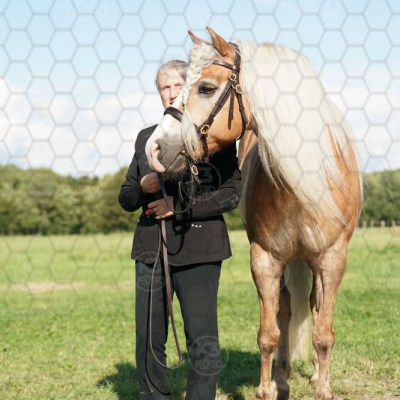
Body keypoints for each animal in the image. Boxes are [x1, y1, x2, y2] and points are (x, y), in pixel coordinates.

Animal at [145, 27, 362, 400]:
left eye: (206, 88)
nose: (155, 148)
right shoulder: (265, 259)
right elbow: (268, 335)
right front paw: (267, 389)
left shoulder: (333, 259)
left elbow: (323, 335)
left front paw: (323, 388)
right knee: (286, 310)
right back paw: (283, 379)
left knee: (315, 307)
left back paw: (316, 375)